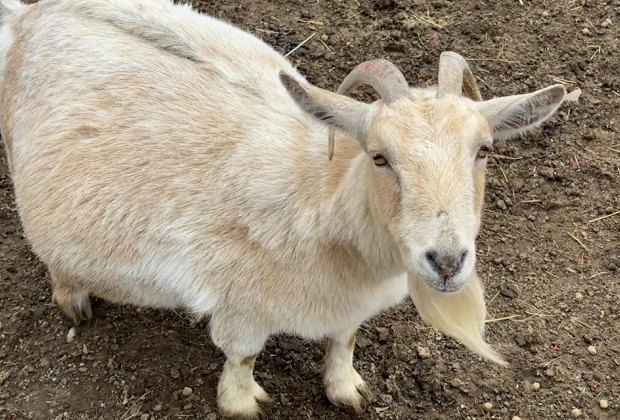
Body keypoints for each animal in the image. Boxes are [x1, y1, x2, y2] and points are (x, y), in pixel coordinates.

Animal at [0, 0, 568, 416]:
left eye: (484, 150)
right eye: (379, 156)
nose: (447, 262)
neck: (320, 199)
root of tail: (32, 12)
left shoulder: (349, 304)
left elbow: (346, 338)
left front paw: (347, 388)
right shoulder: (240, 302)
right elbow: (243, 353)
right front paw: (241, 403)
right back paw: (74, 299)